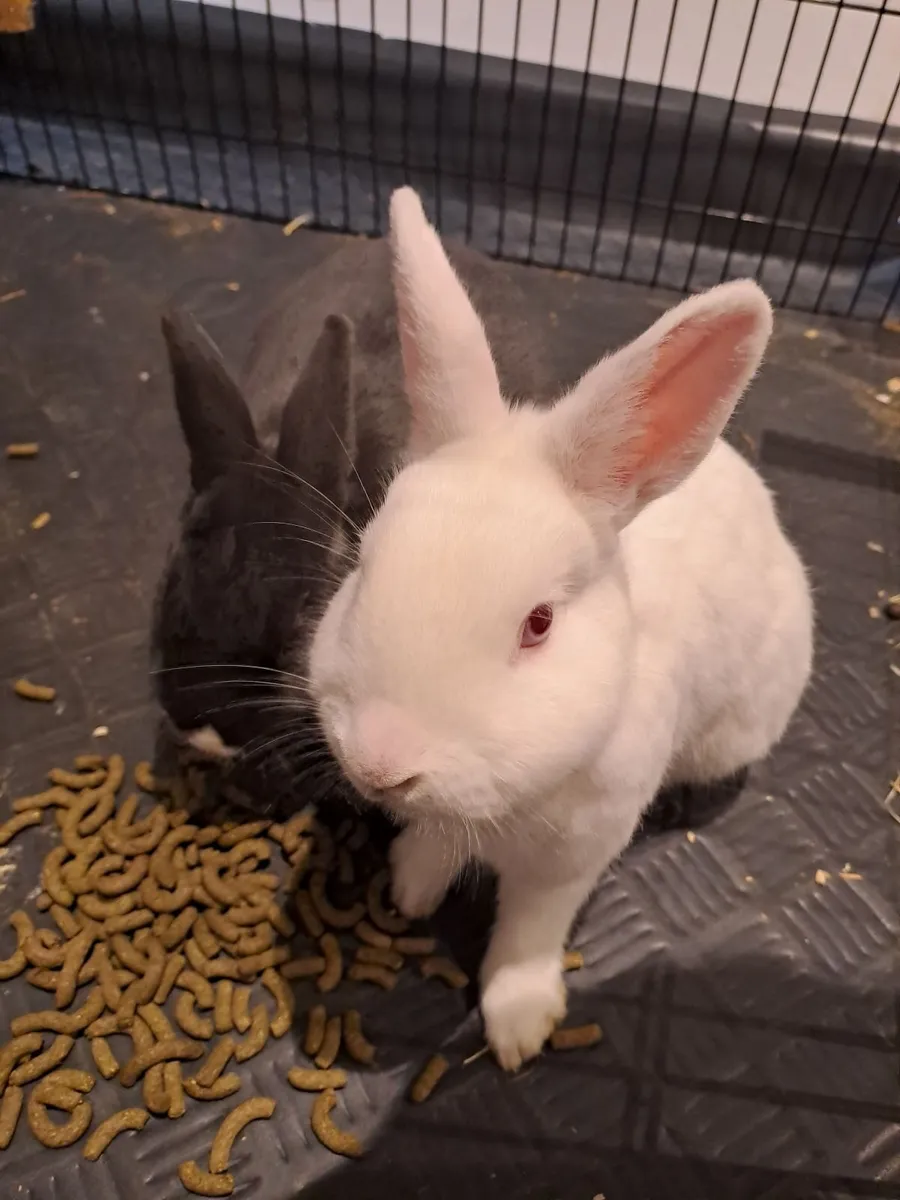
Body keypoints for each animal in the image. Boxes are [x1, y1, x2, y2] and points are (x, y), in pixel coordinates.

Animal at [305, 188, 814, 1069]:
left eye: (538, 625)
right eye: (363, 562)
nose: (380, 763)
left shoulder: (573, 857)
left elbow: (530, 931)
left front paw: (518, 1024)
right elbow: (432, 846)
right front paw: (410, 886)